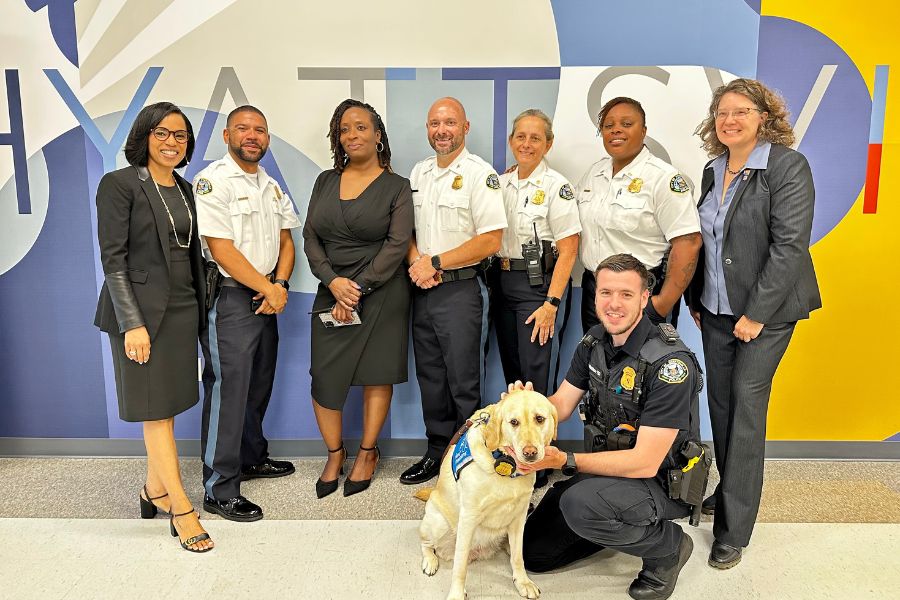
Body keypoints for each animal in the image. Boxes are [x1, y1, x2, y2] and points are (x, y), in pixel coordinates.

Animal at [414, 390, 556, 600]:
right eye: (514, 422)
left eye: (539, 419)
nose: (530, 452)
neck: (503, 464)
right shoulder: (468, 518)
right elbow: (459, 566)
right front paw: (456, 594)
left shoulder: (519, 517)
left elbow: (518, 557)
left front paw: (522, 582)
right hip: (437, 523)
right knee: (427, 543)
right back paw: (430, 561)